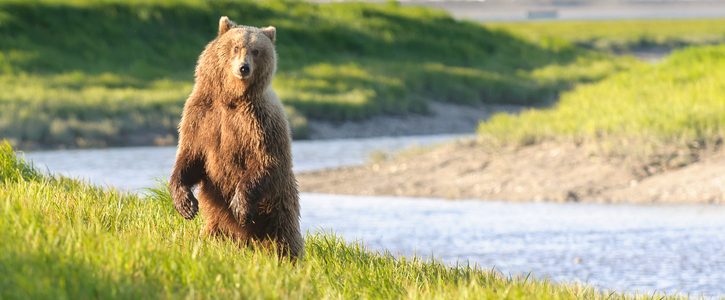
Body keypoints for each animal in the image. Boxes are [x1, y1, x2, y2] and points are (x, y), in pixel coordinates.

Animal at [170, 15, 302, 258]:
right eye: (236, 47)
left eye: (256, 50)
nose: (244, 67)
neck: (231, 98)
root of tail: (247, 241)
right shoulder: (202, 115)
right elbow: (190, 155)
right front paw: (186, 204)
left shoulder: (259, 122)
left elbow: (265, 159)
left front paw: (240, 206)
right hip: (219, 221)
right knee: (214, 234)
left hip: (278, 204)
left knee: (283, 238)